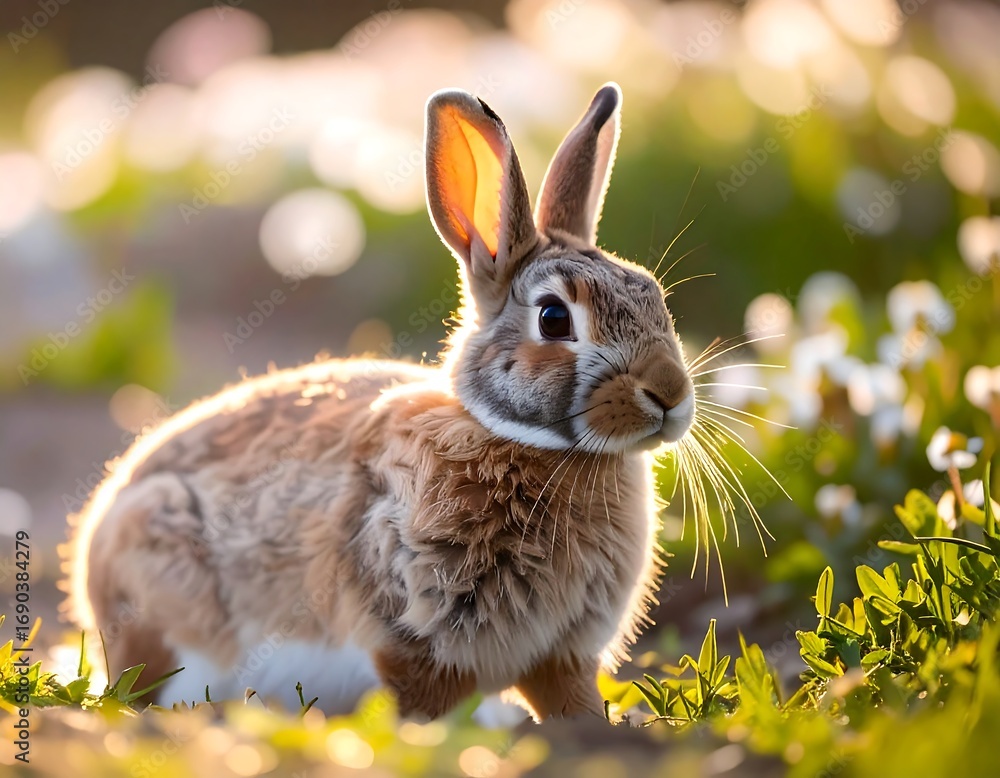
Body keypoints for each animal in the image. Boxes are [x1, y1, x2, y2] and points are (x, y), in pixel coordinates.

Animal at [64, 81, 696, 721]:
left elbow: (572, 703)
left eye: (654, 296)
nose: (670, 394)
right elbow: (422, 703)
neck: (522, 441)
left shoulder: (561, 654)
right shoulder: (411, 636)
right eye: (553, 318)